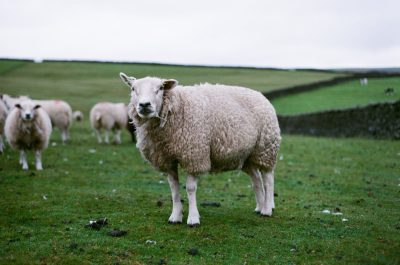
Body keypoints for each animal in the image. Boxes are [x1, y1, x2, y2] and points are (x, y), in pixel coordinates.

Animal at [119, 72, 282, 225]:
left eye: (160, 88)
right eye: (133, 89)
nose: (144, 105)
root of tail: (260, 95)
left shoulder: (194, 155)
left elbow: (190, 188)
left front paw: (193, 219)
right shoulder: (166, 159)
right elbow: (174, 188)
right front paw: (175, 216)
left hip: (266, 148)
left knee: (268, 178)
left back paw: (267, 209)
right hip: (247, 156)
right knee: (256, 179)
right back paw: (259, 207)